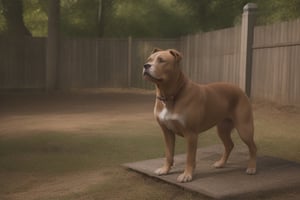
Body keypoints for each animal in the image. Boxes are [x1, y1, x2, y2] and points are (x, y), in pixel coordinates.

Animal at [142, 48, 255, 183]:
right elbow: (169, 154)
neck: (170, 96)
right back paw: (221, 163)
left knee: (253, 147)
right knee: (229, 145)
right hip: (222, 129)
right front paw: (165, 170)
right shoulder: (167, 132)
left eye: (161, 60)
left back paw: (252, 168)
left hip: (244, 128)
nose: (146, 66)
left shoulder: (191, 134)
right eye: (149, 60)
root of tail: (240, 90)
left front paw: (187, 175)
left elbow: (189, 157)